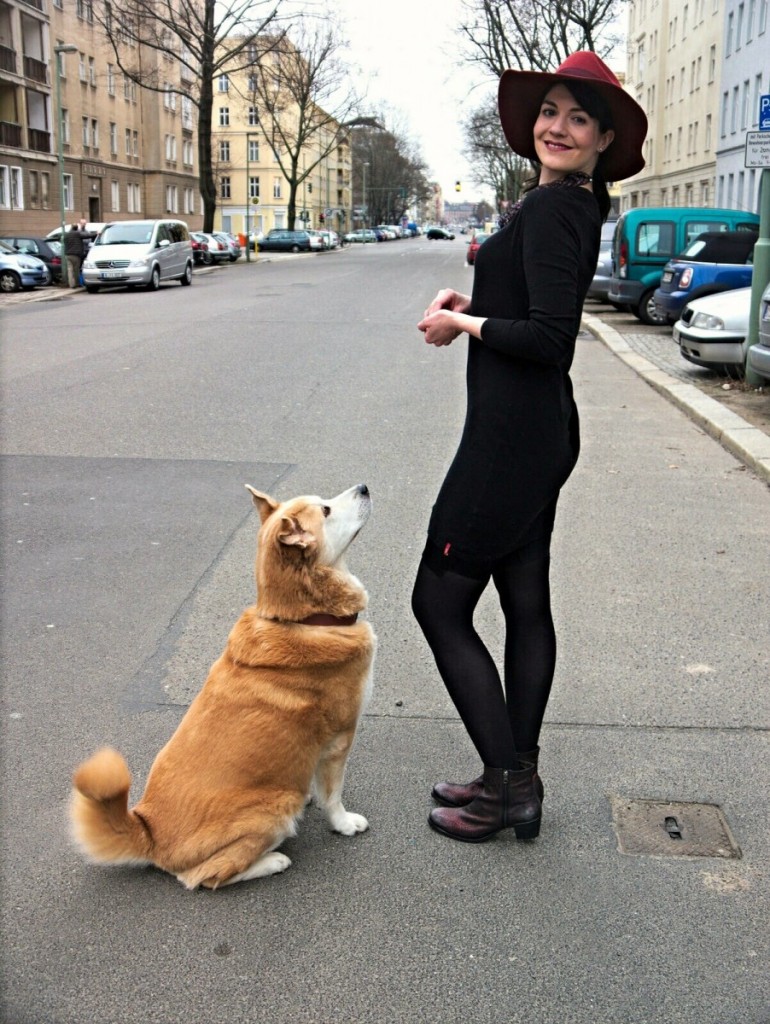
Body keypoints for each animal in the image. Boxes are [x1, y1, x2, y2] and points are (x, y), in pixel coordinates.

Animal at [69, 483, 376, 884]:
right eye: (325, 510)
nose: (364, 487)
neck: (308, 619)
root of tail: (150, 832)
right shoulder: (340, 738)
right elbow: (333, 796)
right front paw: (343, 823)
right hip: (275, 807)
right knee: (205, 876)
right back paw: (272, 861)